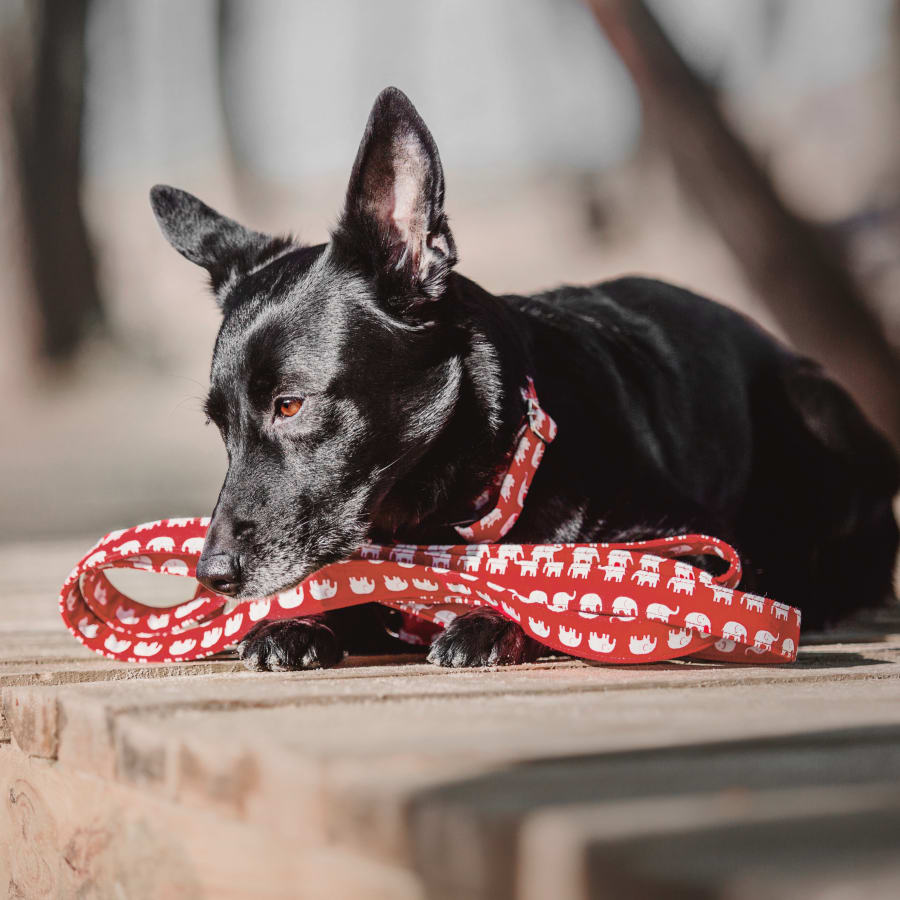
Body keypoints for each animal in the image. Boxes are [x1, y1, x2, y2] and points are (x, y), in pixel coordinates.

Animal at [151, 88, 896, 672]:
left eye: (290, 405)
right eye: (220, 425)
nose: (213, 576)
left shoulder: (697, 545)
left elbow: (576, 590)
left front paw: (496, 617)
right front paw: (292, 619)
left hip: (815, 405)